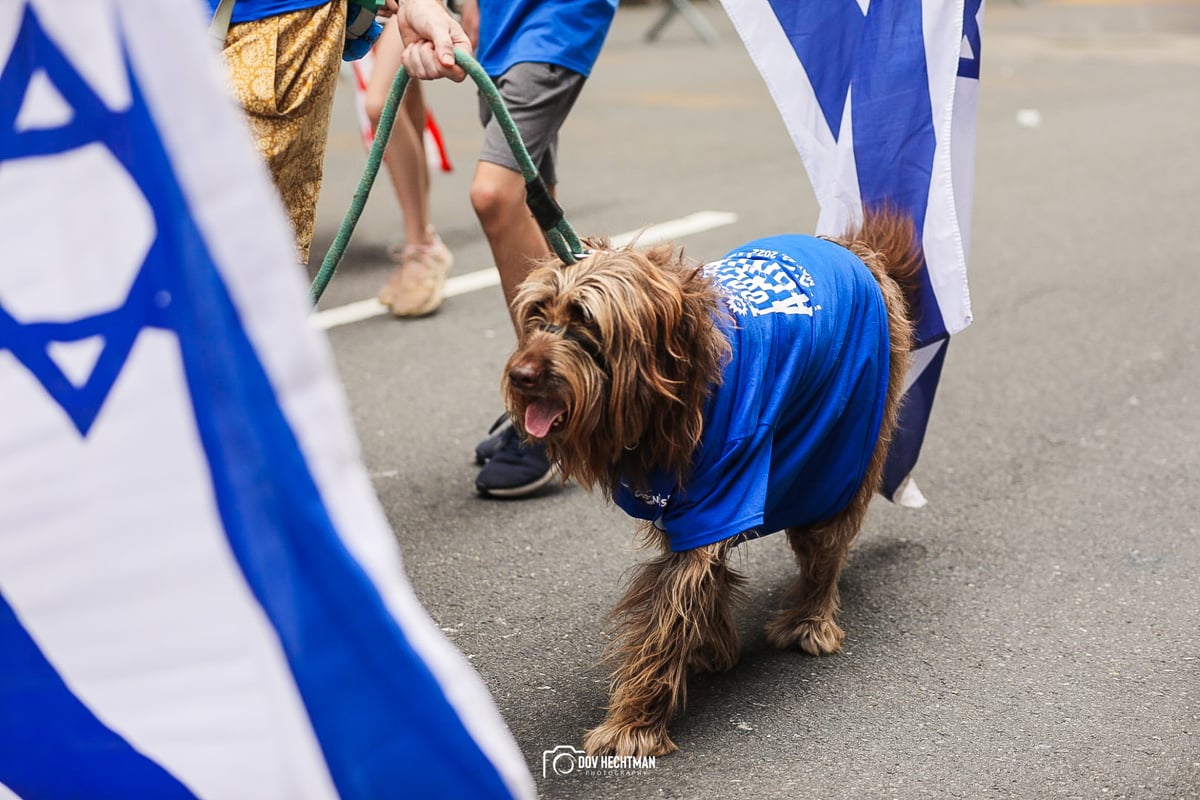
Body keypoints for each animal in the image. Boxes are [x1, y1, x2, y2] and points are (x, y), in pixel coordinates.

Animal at [496, 205, 916, 758]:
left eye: (586, 322)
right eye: (536, 314)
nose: (521, 376)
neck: (674, 380)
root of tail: (854, 251)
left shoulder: (723, 492)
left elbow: (671, 606)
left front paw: (633, 723)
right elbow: (695, 581)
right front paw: (711, 645)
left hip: (844, 440)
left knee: (825, 541)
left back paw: (810, 617)